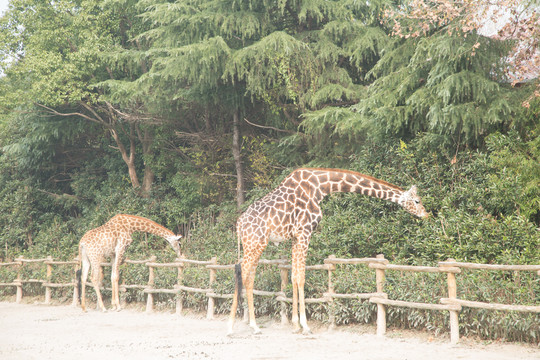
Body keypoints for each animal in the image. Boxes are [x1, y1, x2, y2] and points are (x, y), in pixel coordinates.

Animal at [228, 168, 430, 334]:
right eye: (417, 200)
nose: (426, 214)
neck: (321, 187)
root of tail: (239, 224)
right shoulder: (305, 232)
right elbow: (301, 277)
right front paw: (306, 326)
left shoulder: (295, 237)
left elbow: (294, 277)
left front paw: (295, 325)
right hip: (256, 243)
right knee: (242, 272)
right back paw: (235, 325)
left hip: (253, 244)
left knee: (248, 276)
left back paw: (252, 325)